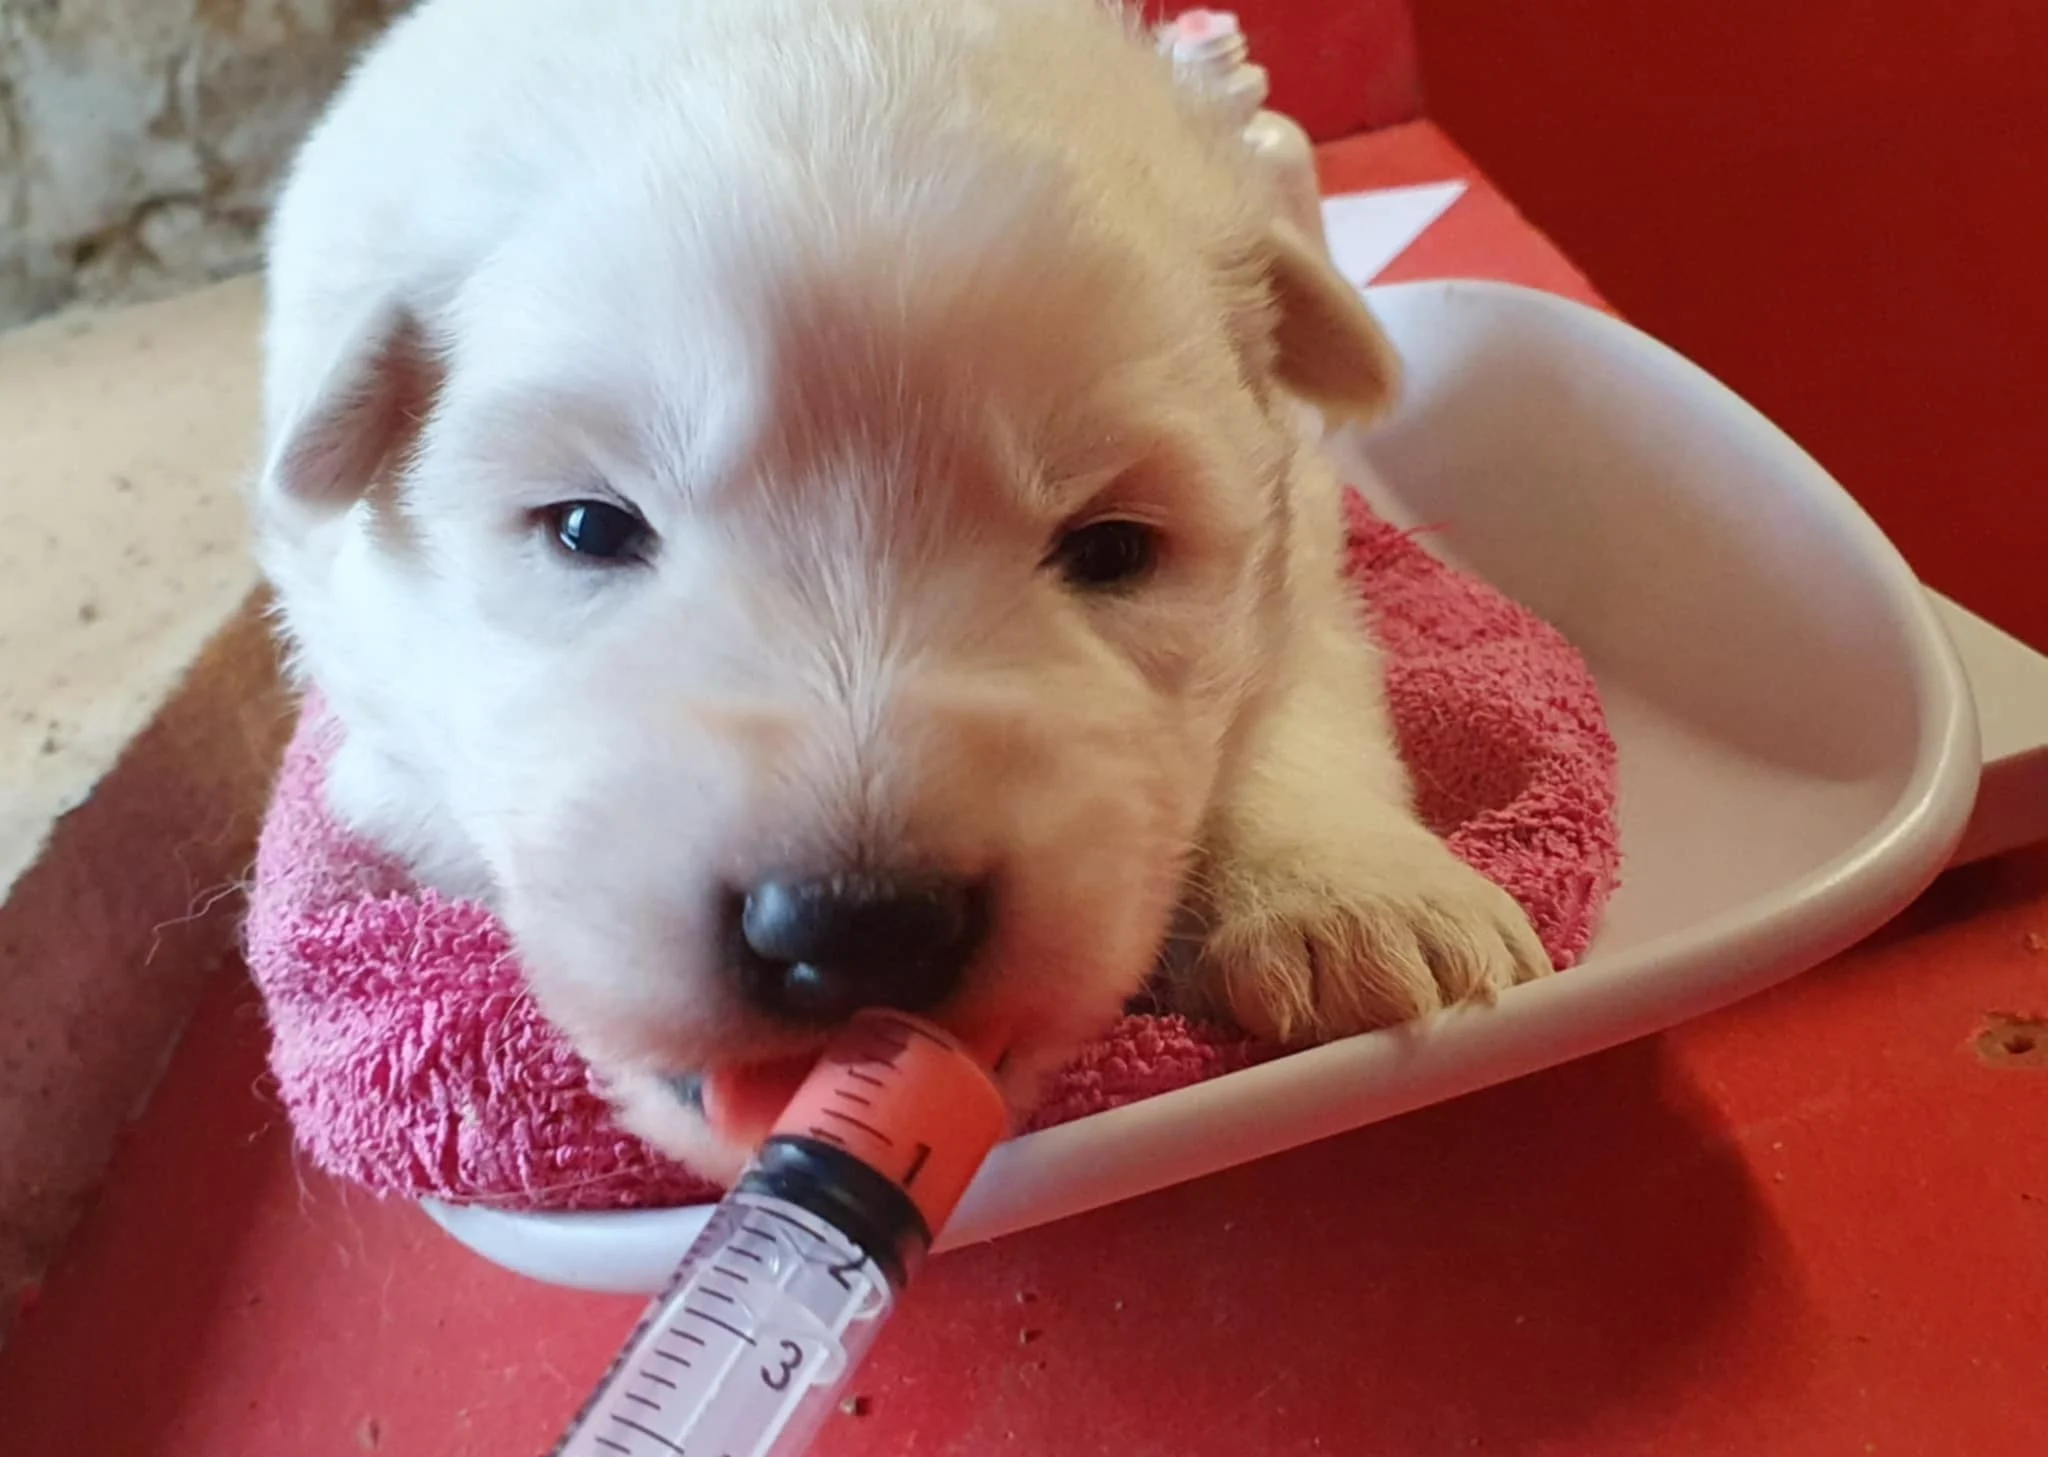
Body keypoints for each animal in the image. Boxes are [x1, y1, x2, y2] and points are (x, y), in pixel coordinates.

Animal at [252, 0, 1550, 1182]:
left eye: (1112, 549)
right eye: (587, 527)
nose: (856, 927)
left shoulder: (1303, 540)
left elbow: (1298, 703)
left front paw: (1361, 906)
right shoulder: (382, 760)